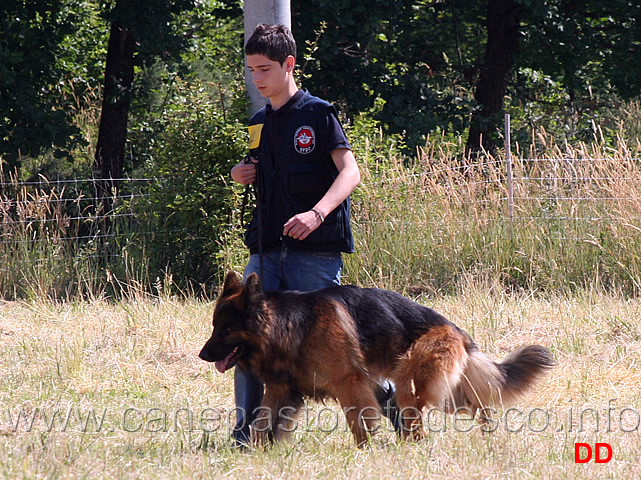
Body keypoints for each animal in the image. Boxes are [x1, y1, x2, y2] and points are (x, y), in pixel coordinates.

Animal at [198, 272, 552, 448]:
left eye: (226, 329)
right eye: (215, 326)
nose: (202, 355)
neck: (291, 324)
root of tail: (455, 329)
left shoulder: (350, 384)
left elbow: (360, 422)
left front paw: (363, 452)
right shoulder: (281, 389)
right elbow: (262, 423)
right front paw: (255, 454)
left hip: (411, 382)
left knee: (415, 418)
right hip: (442, 390)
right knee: (476, 404)